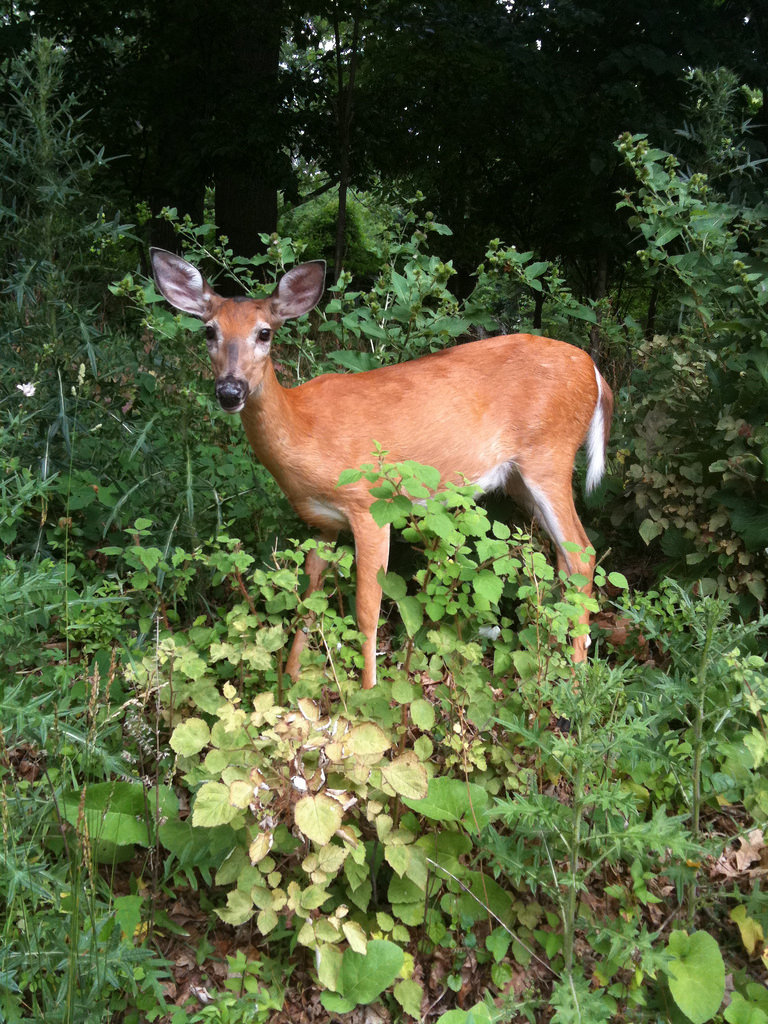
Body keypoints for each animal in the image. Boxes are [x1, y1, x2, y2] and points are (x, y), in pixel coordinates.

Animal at [153, 249, 618, 688]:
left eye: (264, 333)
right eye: (209, 331)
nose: (230, 391)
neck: (304, 428)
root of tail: (595, 373)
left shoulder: (370, 505)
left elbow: (367, 611)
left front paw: (366, 693)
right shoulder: (321, 522)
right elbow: (309, 600)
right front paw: (292, 678)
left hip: (550, 454)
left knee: (583, 554)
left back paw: (575, 677)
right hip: (518, 477)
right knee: (562, 558)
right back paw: (552, 659)